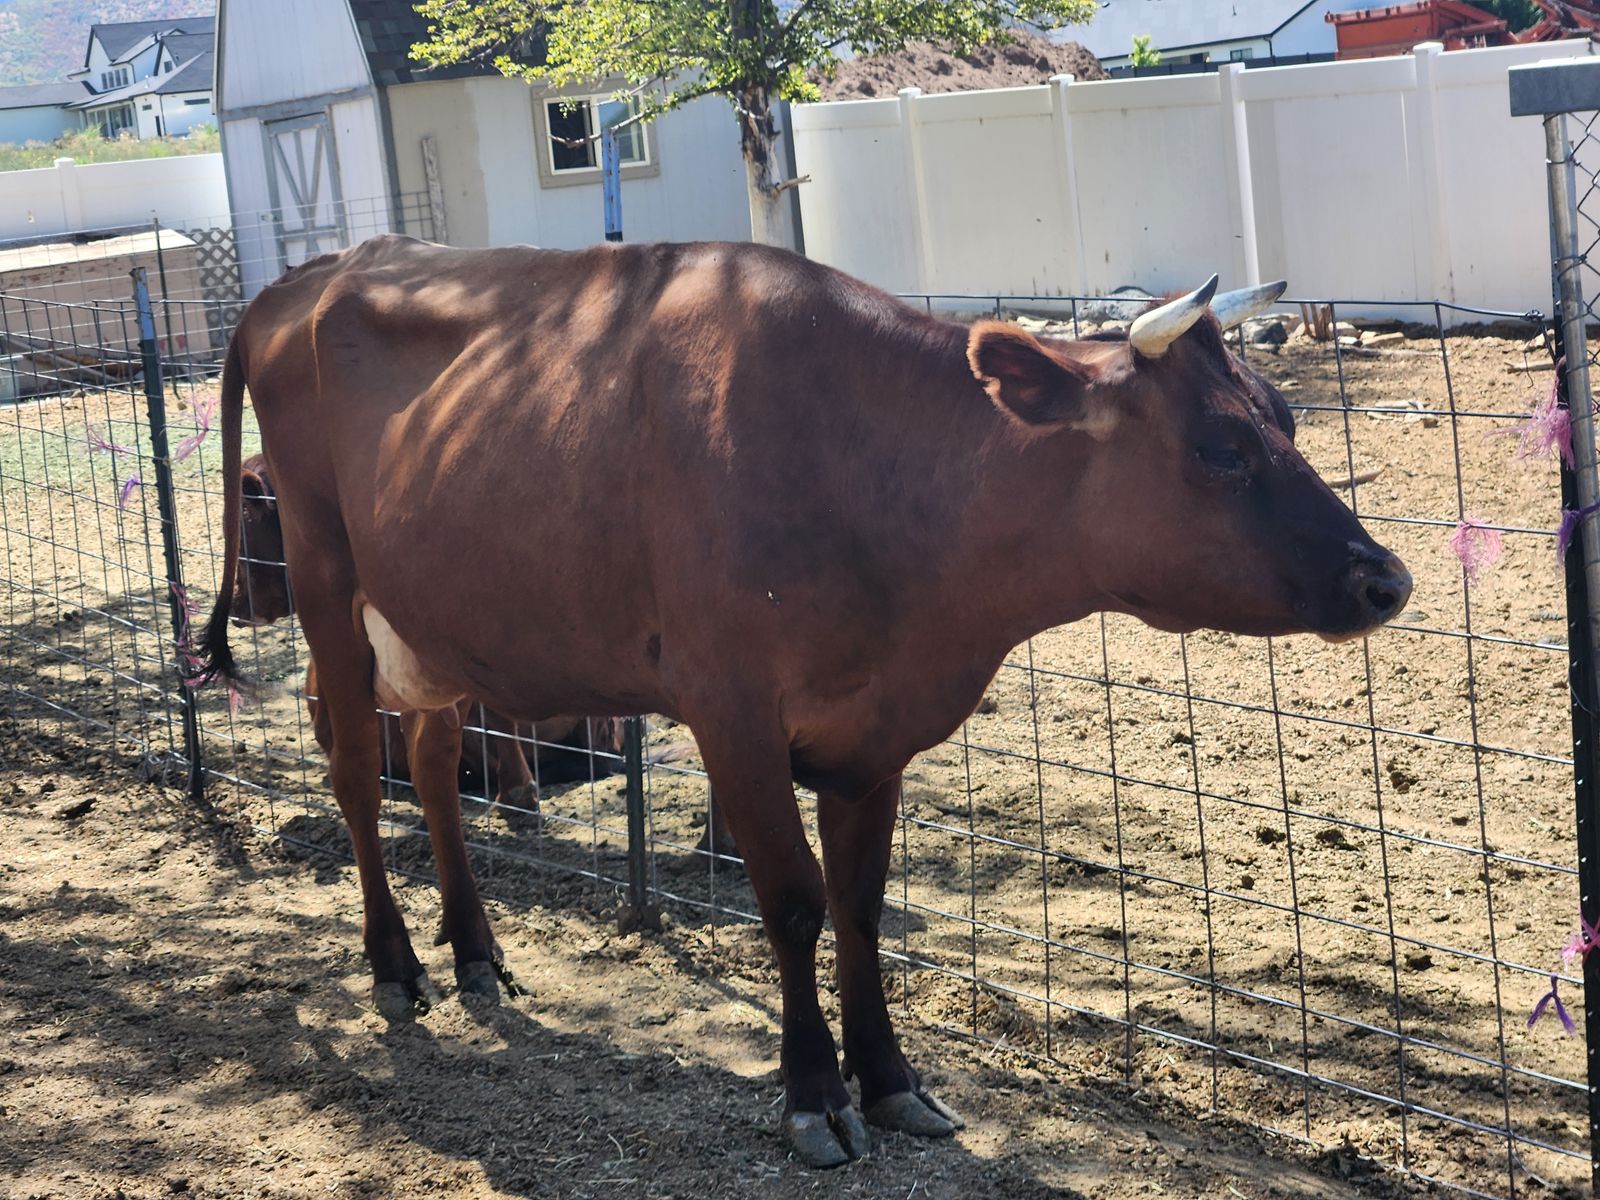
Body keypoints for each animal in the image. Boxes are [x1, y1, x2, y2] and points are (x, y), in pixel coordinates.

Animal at [195, 236, 1410, 1168]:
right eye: (1220, 447)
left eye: (1285, 416)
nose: (1384, 579)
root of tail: (303, 278)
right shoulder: (730, 711)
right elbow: (790, 903)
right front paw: (814, 1097)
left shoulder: (876, 735)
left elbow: (861, 906)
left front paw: (891, 1080)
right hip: (328, 588)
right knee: (360, 777)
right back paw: (398, 965)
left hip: (432, 622)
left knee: (437, 763)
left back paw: (476, 951)